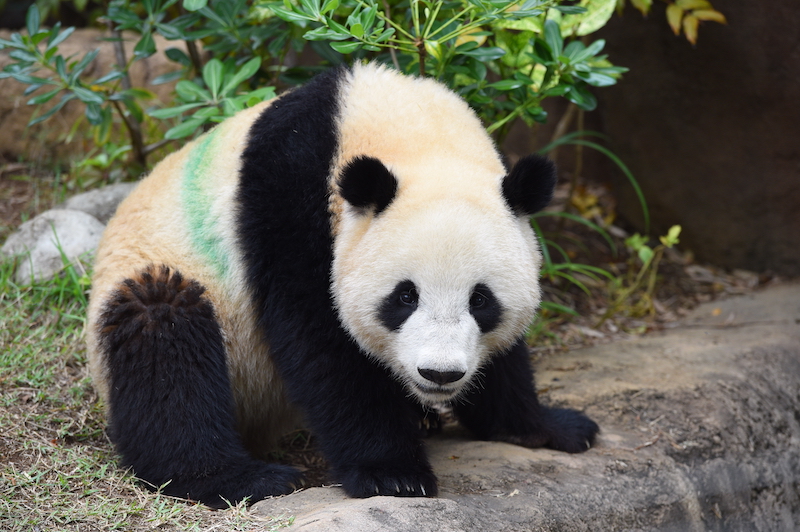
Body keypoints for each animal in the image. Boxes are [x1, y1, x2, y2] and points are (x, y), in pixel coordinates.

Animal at [87, 61, 600, 508]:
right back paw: (241, 477)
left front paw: (547, 427)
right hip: (171, 282)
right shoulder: (290, 198)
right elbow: (320, 341)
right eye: (405, 296)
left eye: (481, 300)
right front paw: (393, 474)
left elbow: (504, 360)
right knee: (167, 349)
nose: (440, 374)